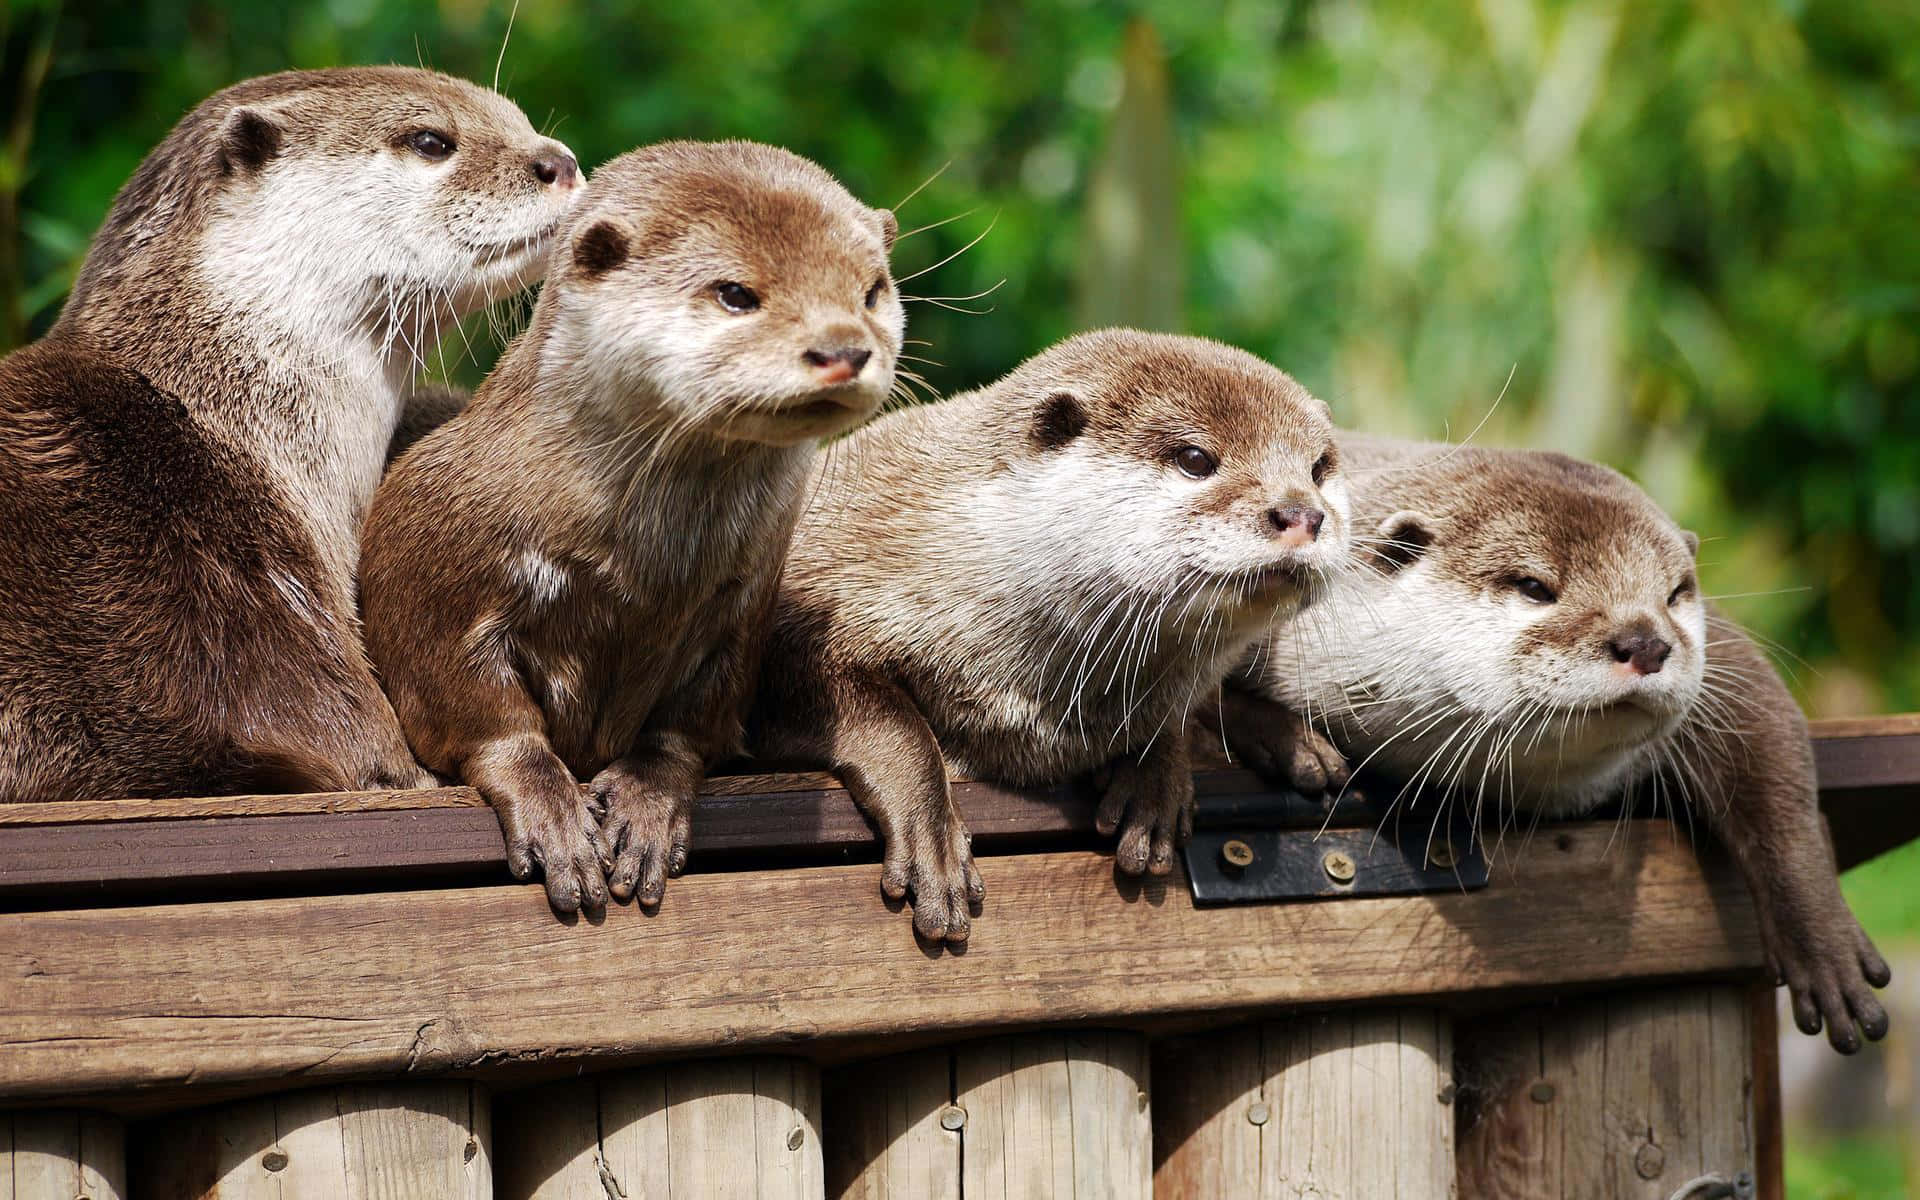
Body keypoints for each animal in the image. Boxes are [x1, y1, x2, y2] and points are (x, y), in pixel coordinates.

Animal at [362, 138, 902, 906]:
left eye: (871, 291)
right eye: (735, 293)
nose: (843, 349)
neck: (642, 576)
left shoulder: (743, 604)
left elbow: (692, 723)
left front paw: (648, 803)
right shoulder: (430, 572)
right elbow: (479, 714)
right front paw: (552, 811)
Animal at [748, 330, 1351, 944]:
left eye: (1319, 468)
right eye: (1195, 459)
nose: (1302, 514)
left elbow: (1176, 713)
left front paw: (1154, 779)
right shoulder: (810, 601)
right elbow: (889, 722)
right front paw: (932, 838)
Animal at [1221, 435, 1896, 1052]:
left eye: (1675, 593)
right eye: (1534, 586)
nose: (1646, 641)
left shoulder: (1724, 663)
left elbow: (1770, 750)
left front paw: (1824, 942)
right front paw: (1292, 742)